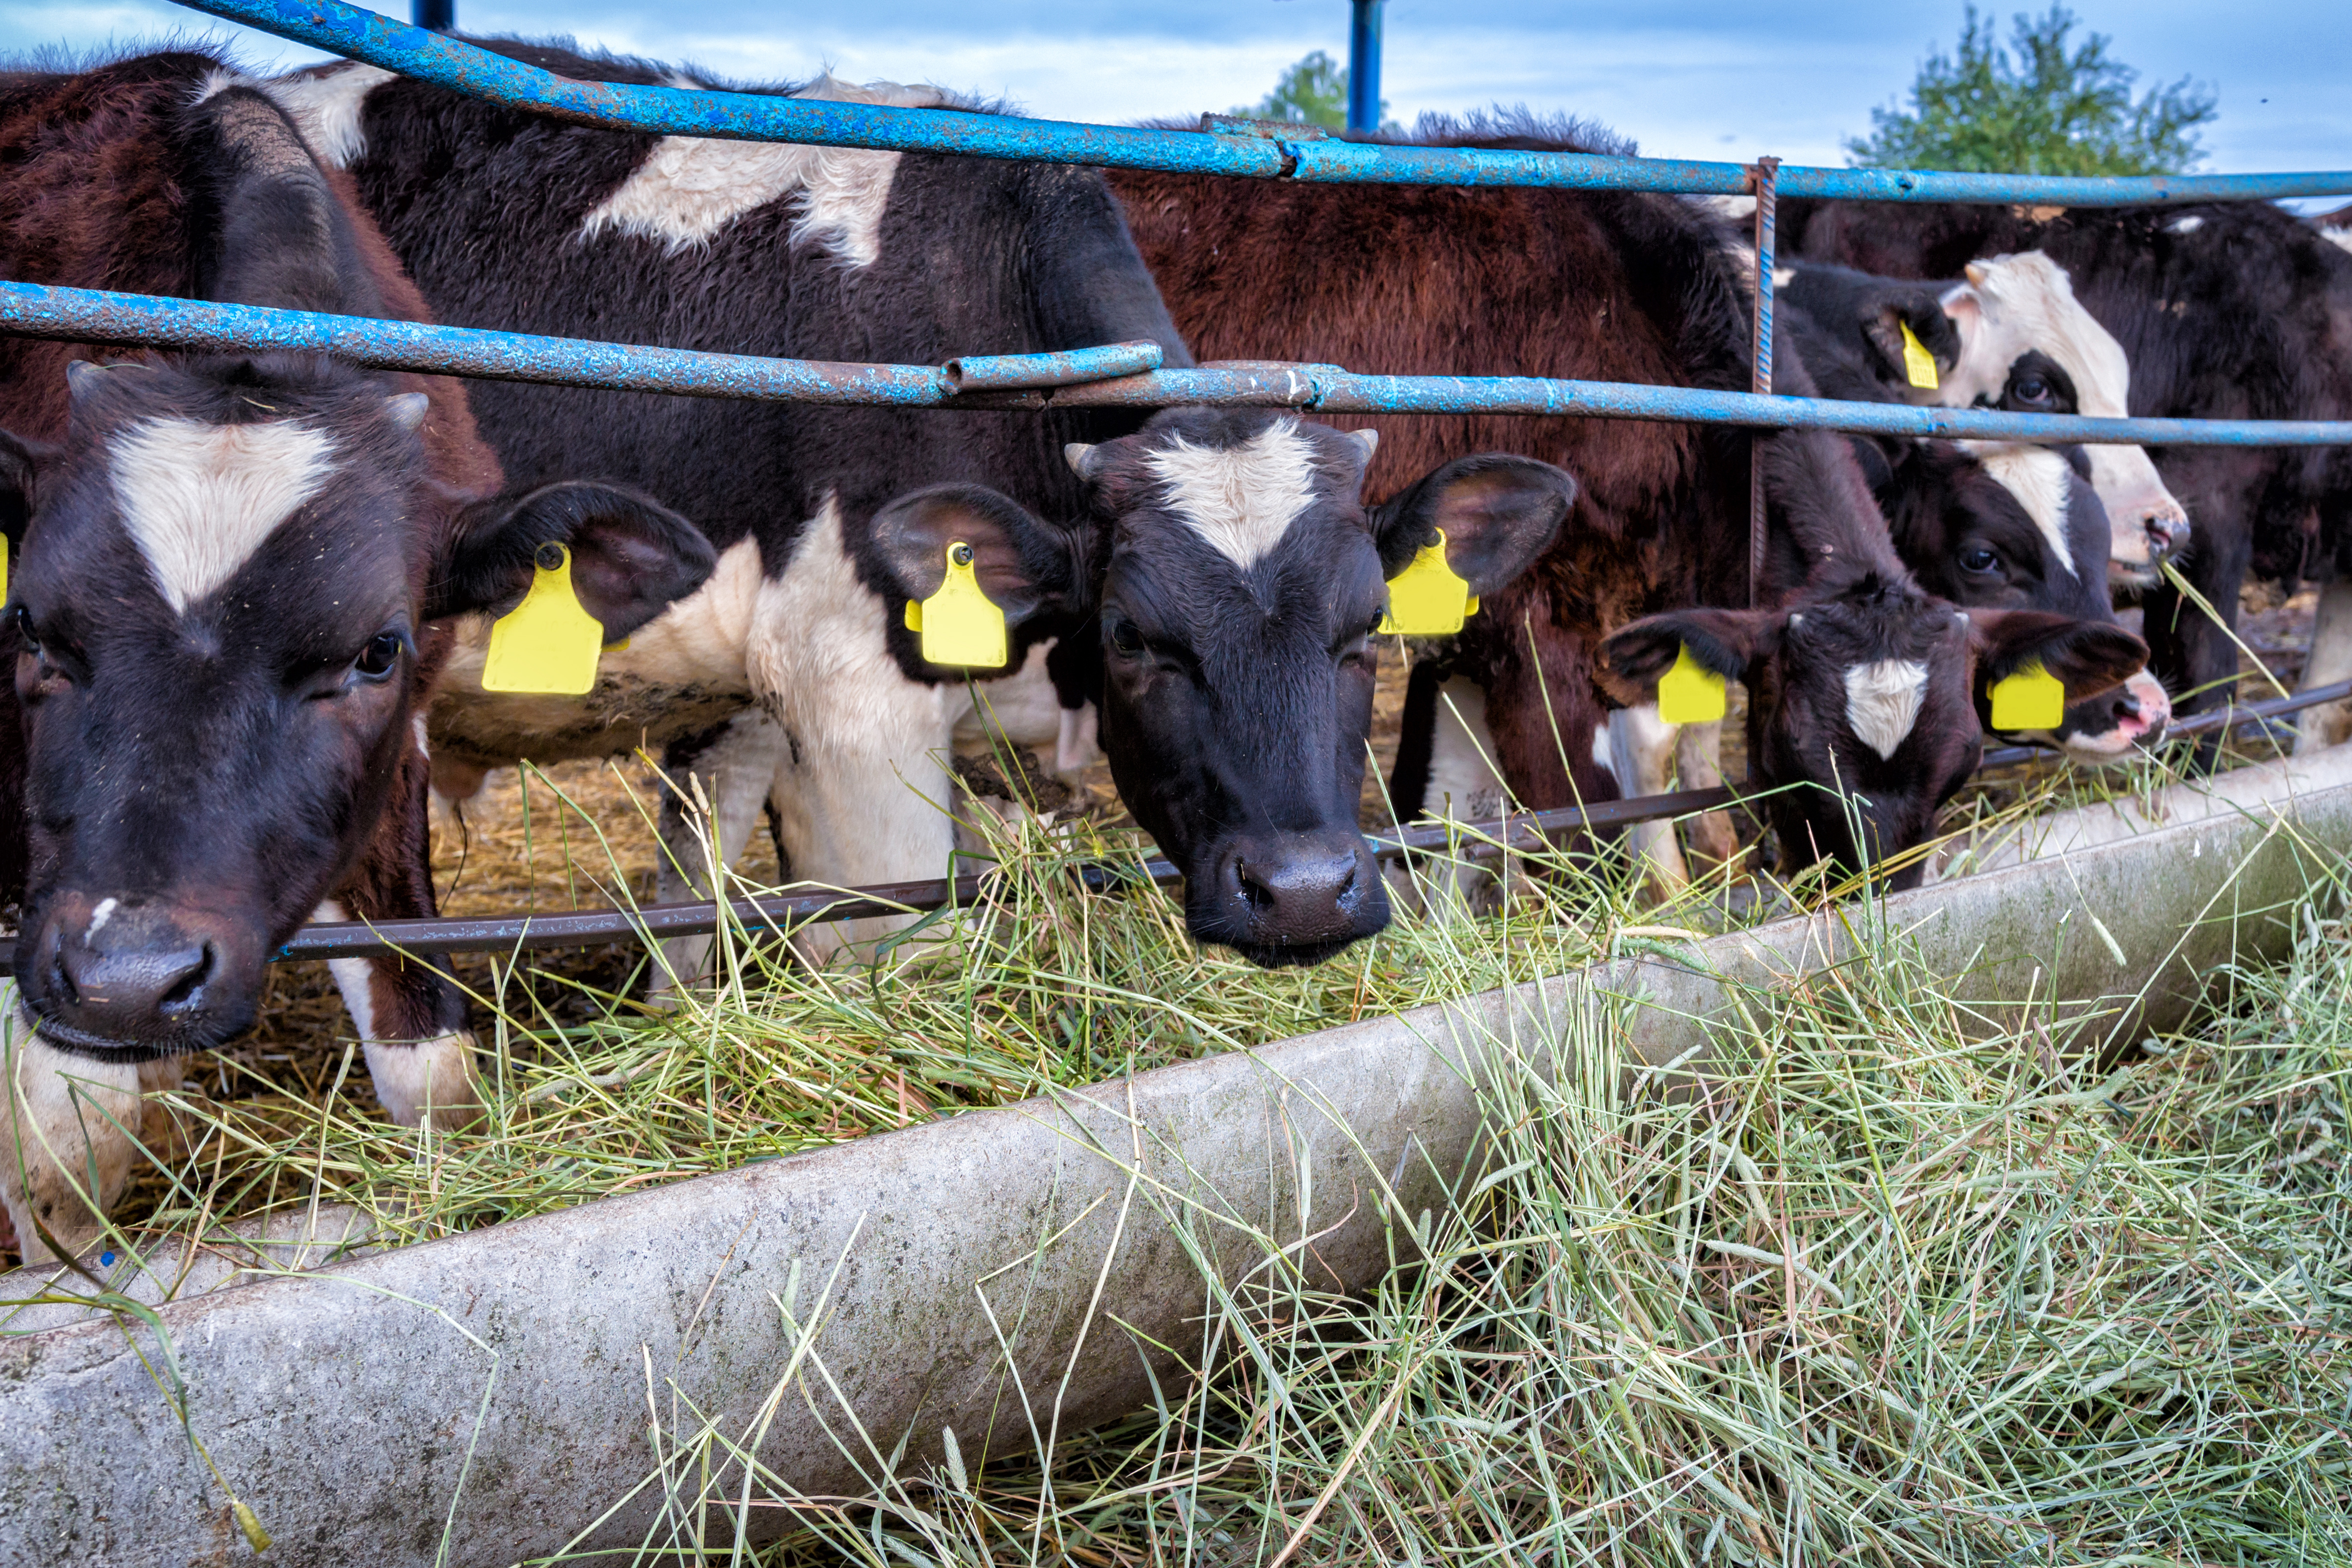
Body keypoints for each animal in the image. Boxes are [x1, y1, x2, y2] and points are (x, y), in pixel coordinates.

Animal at [0, 53, 713, 1261]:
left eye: (377, 650)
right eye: (34, 631)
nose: (130, 980)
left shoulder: (388, 768)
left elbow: (434, 1071)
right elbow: (62, 1153)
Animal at [1111, 113, 2148, 894]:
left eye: (1959, 766)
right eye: (1797, 763)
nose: (1870, 898)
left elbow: (1615, 748)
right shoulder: (1526, 614)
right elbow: (1573, 793)